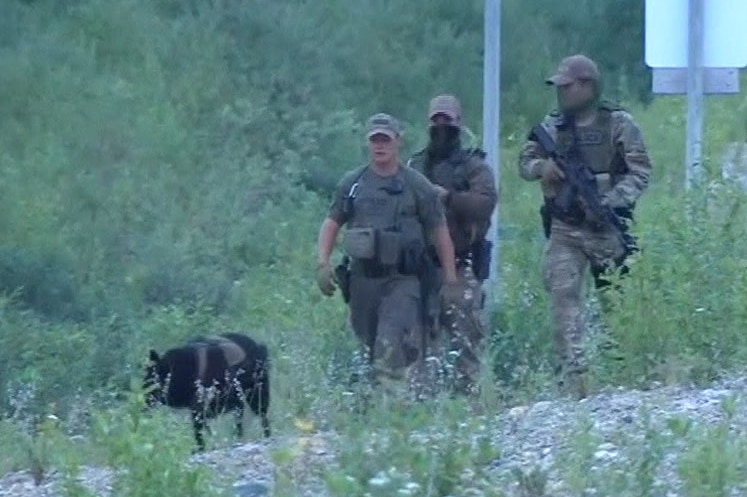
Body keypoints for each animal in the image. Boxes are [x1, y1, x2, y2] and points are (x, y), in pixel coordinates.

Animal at [144, 332, 272, 452]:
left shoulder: (202, 407)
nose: (143, 403)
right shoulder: (201, 409)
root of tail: (257, 345)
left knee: (262, 416)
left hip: (257, 394)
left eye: (151, 382)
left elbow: (200, 432)